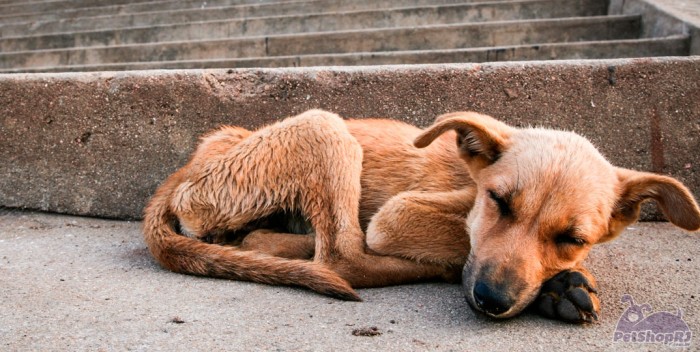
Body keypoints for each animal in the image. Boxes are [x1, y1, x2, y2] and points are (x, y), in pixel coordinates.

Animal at [144, 108, 700, 324]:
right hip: (324, 127)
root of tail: (189, 166)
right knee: (343, 257)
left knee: (274, 241)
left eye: (573, 237)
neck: (470, 180)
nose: (492, 300)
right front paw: (554, 286)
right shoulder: (397, 214)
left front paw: (561, 281)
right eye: (499, 202)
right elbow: (460, 243)